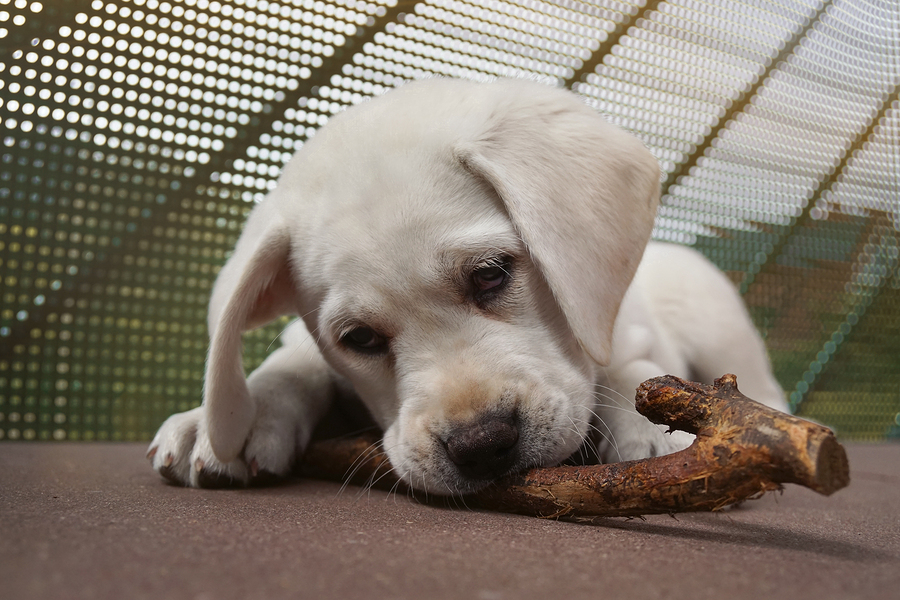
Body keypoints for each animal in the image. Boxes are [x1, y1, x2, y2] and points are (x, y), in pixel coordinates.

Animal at [148, 78, 788, 492]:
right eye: (359, 339)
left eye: (490, 273)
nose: (481, 446)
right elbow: (294, 362)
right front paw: (229, 416)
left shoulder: (625, 333)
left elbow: (626, 368)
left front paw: (651, 428)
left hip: (717, 323)